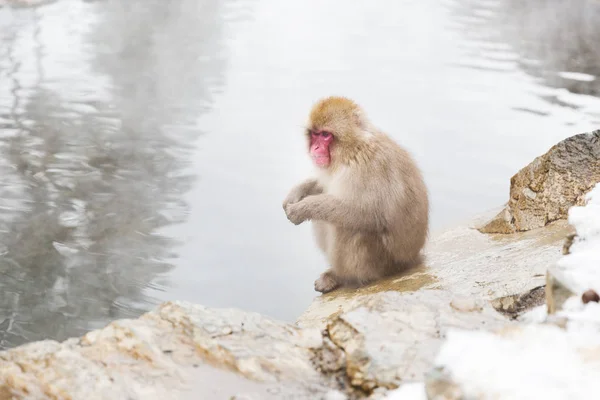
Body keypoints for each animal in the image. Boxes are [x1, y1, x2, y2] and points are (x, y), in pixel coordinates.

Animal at [284, 95, 428, 292]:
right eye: (314, 134)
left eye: (325, 135)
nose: (315, 148)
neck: (352, 148)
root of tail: (411, 258)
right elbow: (325, 186)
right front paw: (296, 192)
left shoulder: (367, 167)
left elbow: (368, 214)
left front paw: (304, 208)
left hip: (383, 263)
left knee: (348, 227)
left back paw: (344, 277)